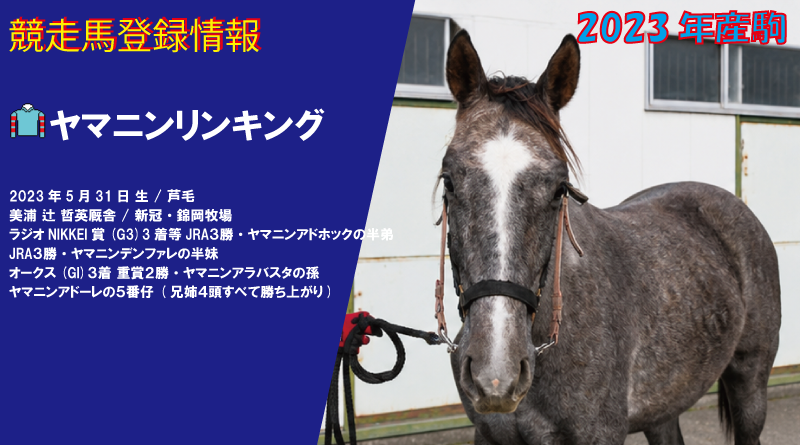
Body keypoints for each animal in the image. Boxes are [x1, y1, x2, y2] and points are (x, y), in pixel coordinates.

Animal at [440, 30, 781, 445]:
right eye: (449, 180)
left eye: (560, 188)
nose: (496, 376)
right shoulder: (488, 435)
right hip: (663, 406)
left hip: (750, 383)